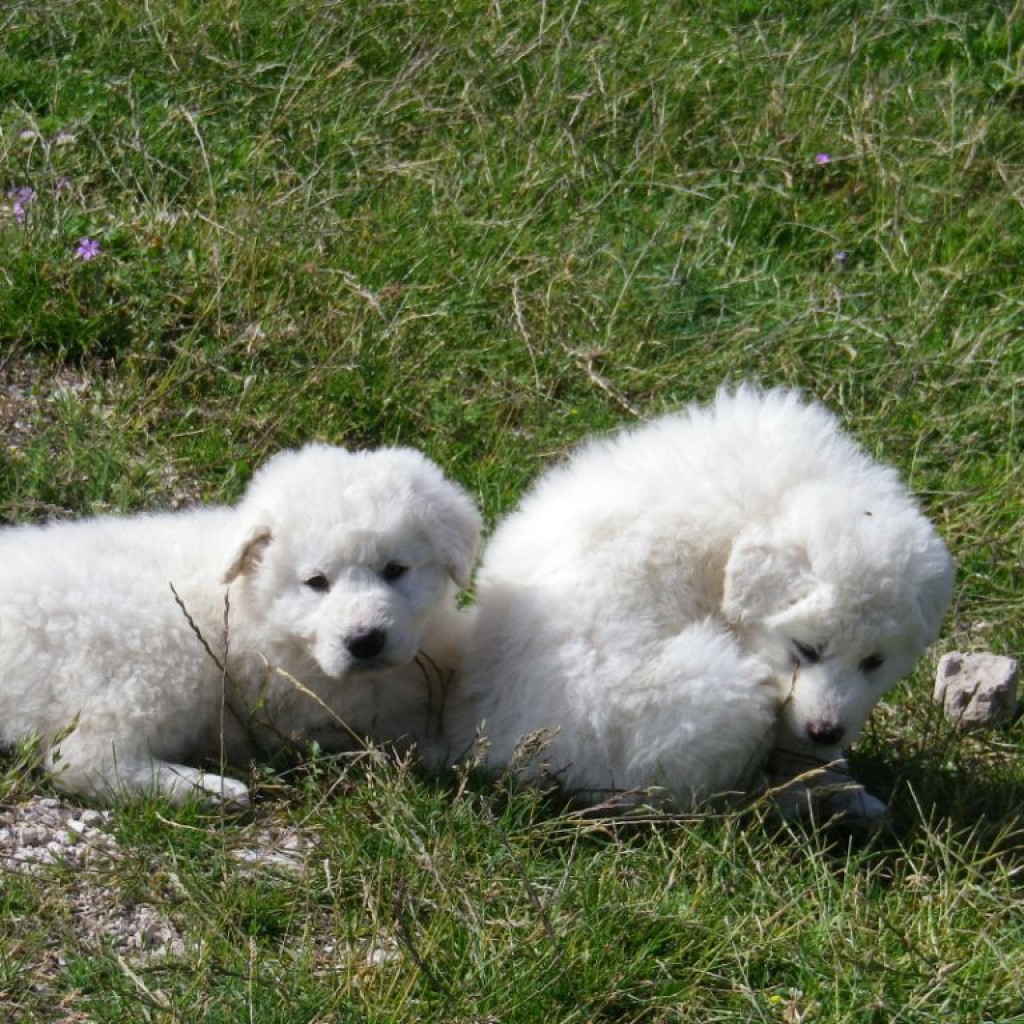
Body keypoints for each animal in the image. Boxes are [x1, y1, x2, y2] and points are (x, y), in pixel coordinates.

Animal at [0, 446, 481, 806]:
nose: (365, 641)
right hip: (152, 657)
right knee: (82, 759)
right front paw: (448, 753)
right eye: (316, 582)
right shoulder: (302, 710)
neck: (256, 607)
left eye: (396, 570)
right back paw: (208, 790)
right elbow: (396, 734)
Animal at [444, 385, 954, 823]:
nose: (825, 731)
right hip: (717, 705)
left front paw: (849, 786)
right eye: (806, 650)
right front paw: (833, 785)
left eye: (875, 662)